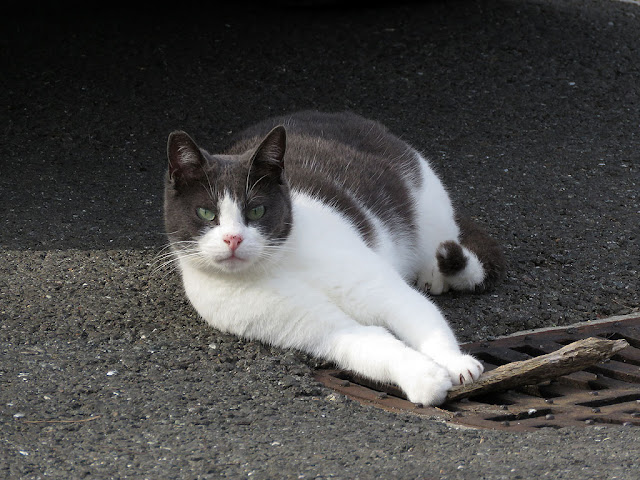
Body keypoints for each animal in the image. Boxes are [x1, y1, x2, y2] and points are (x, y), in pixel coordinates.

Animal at [165, 109, 504, 404]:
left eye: (257, 210)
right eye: (206, 213)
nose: (233, 238)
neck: (278, 264)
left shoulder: (379, 287)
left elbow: (422, 316)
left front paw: (455, 363)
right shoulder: (321, 328)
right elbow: (375, 344)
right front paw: (424, 378)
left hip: (428, 203)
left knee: (443, 239)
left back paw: (433, 273)